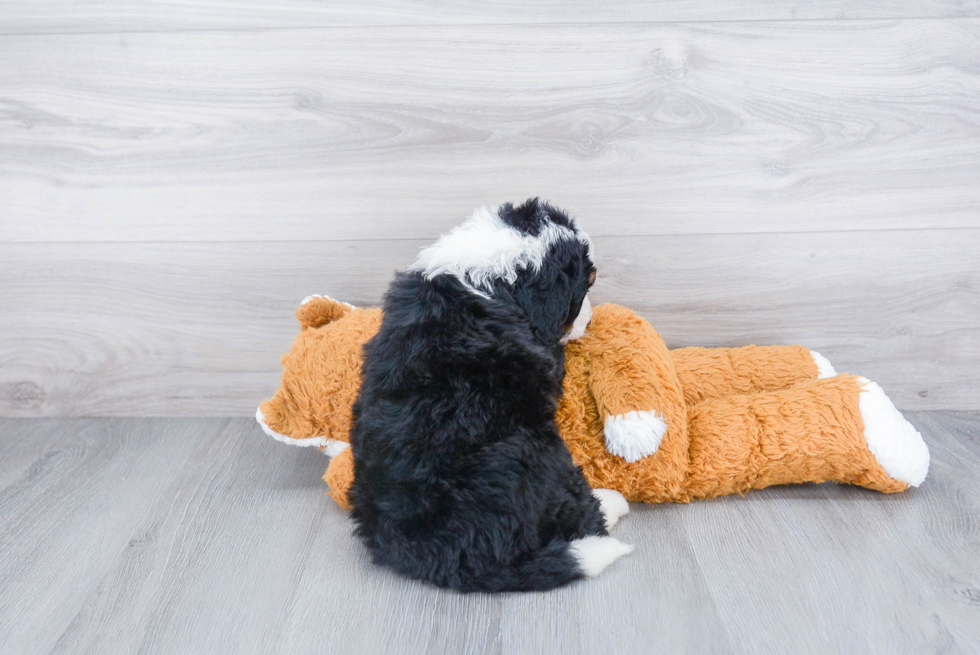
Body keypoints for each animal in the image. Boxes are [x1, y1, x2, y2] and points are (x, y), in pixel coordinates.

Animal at [348, 200, 632, 596]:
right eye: (586, 281)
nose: (588, 323)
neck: (489, 282)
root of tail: (441, 555)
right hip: (535, 448)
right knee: (570, 503)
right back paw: (608, 506)